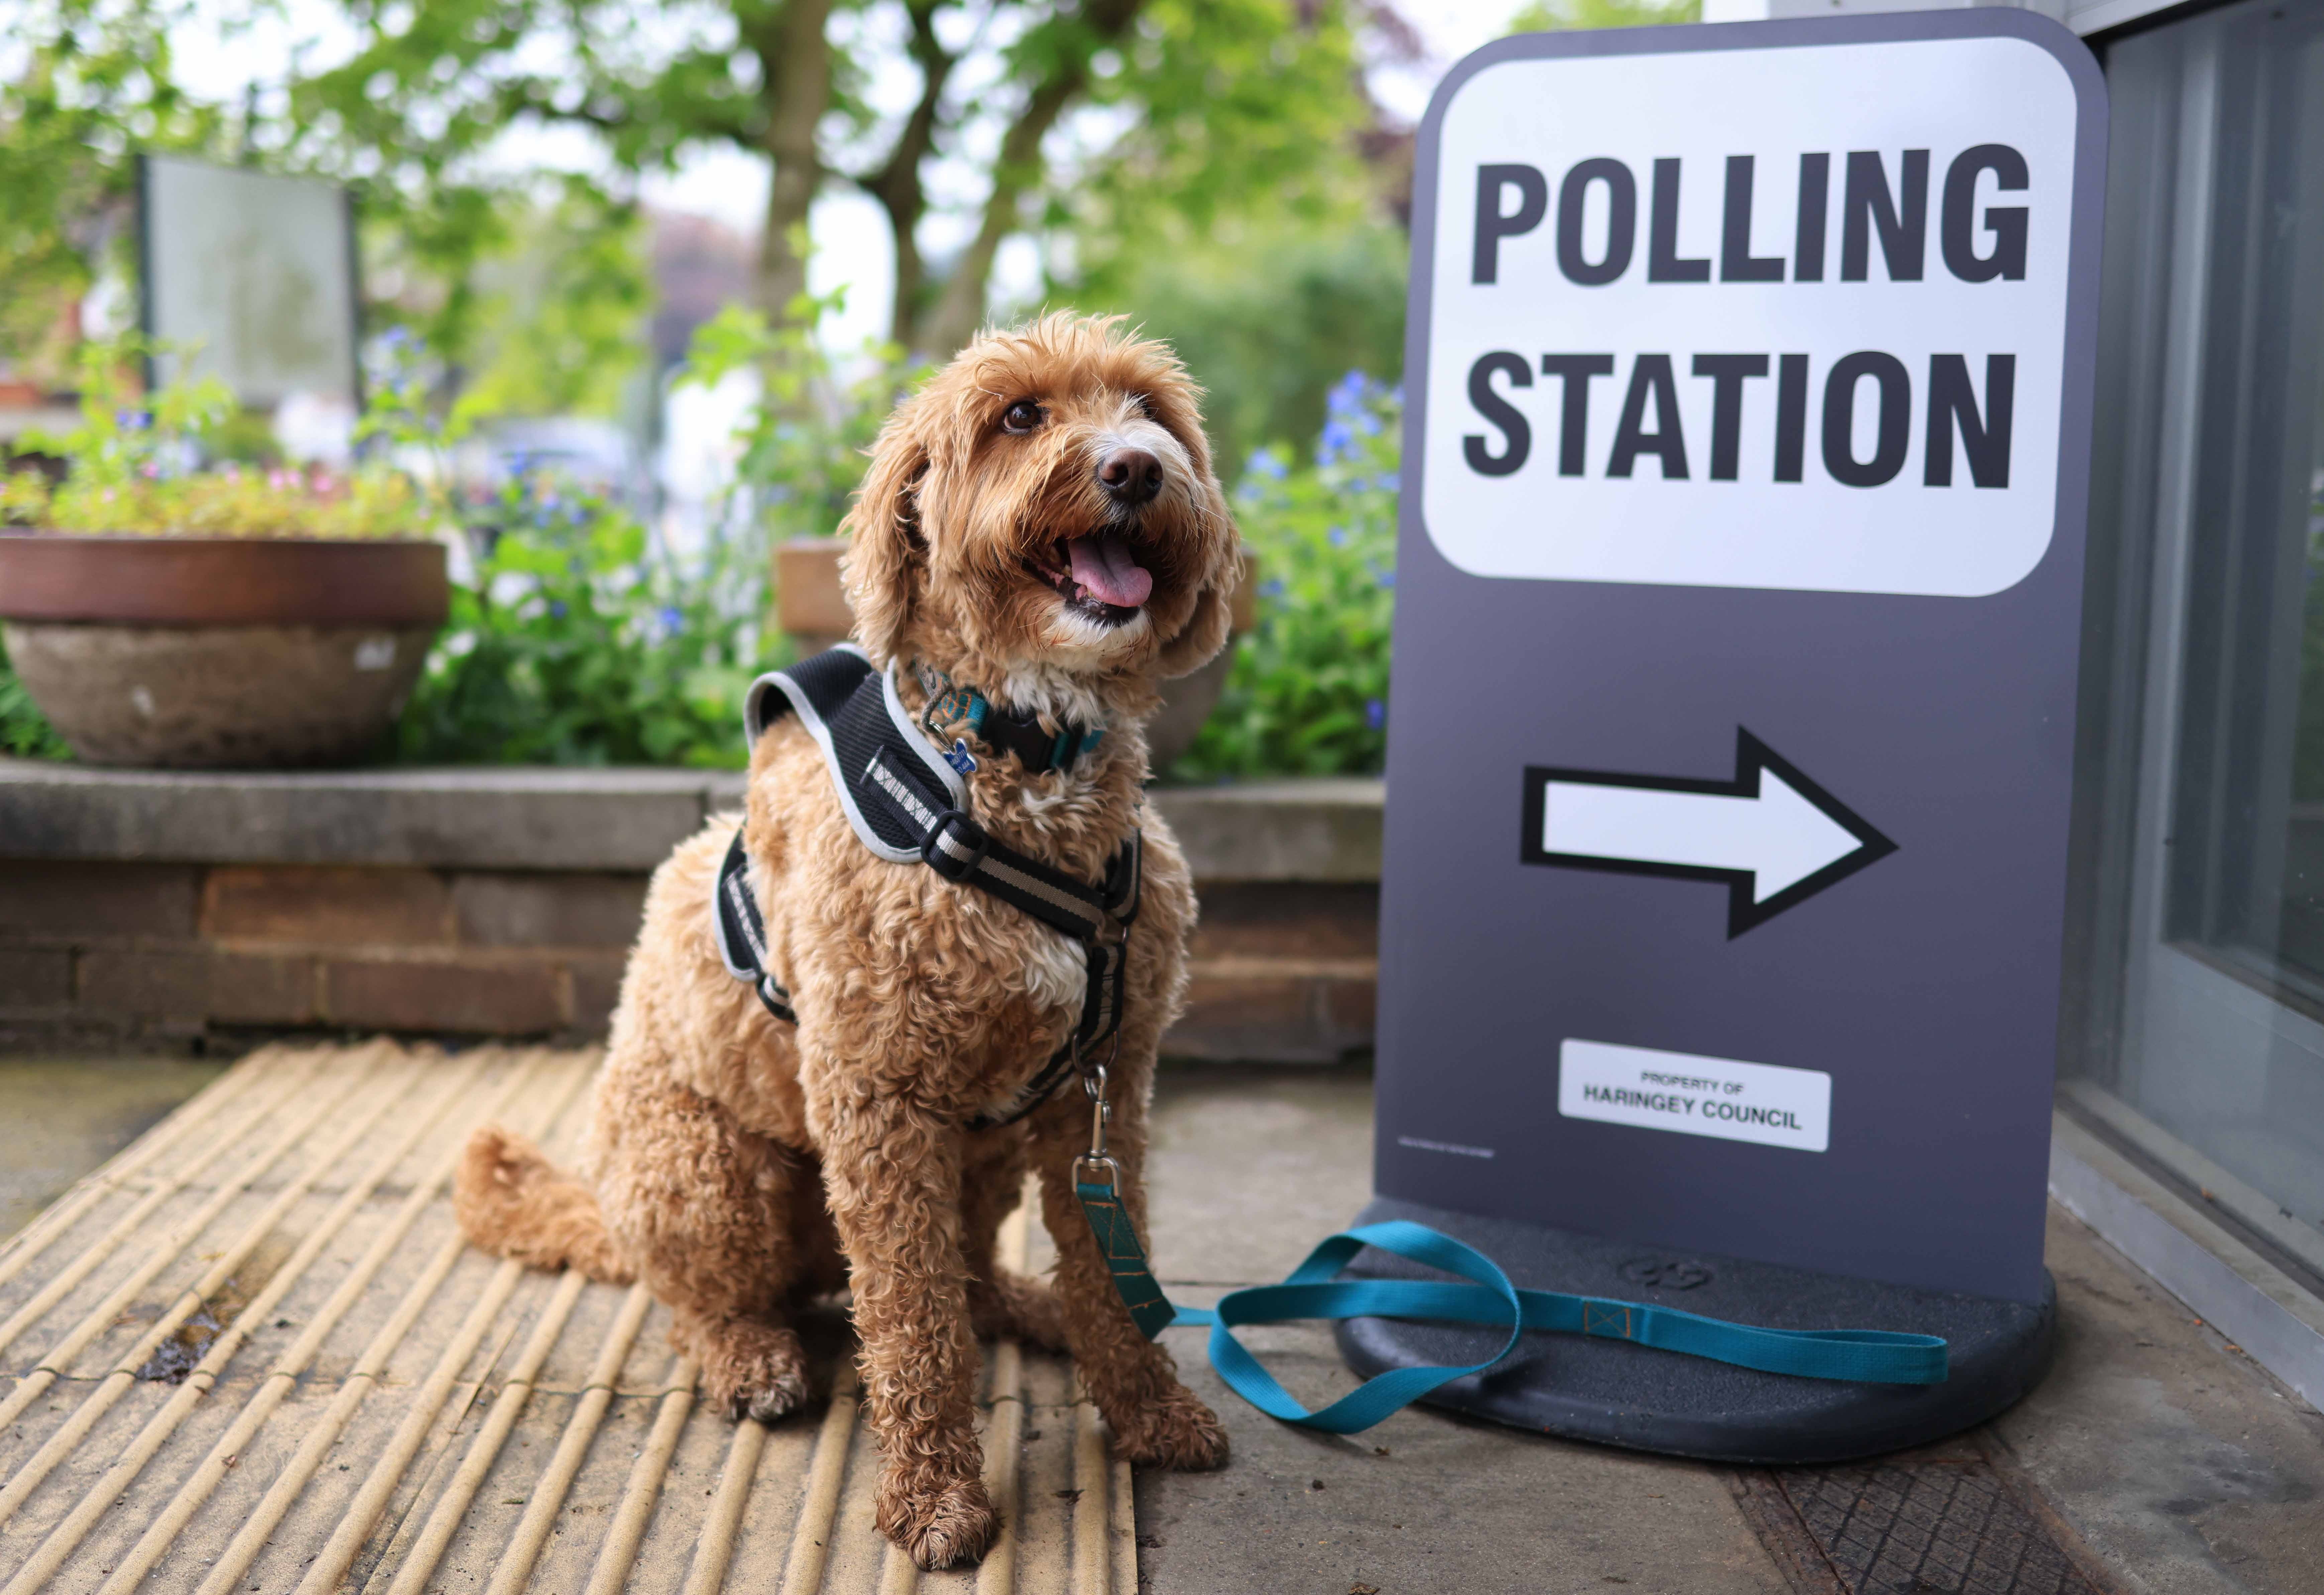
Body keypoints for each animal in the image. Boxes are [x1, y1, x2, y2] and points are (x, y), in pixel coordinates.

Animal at [460, 316, 1246, 1572]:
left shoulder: (1107, 1089)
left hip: (984, 1150)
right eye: (1018, 416)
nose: (1135, 468)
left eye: (1149, 411)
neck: (1012, 762)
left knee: (968, 1277)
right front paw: (935, 1499)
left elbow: (1107, 1276)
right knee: (708, 1304)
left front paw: (1151, 1411)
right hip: (707, 1172)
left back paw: (1023, 1308)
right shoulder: (880, 1099)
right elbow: (911, 1317)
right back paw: (752, 1354)